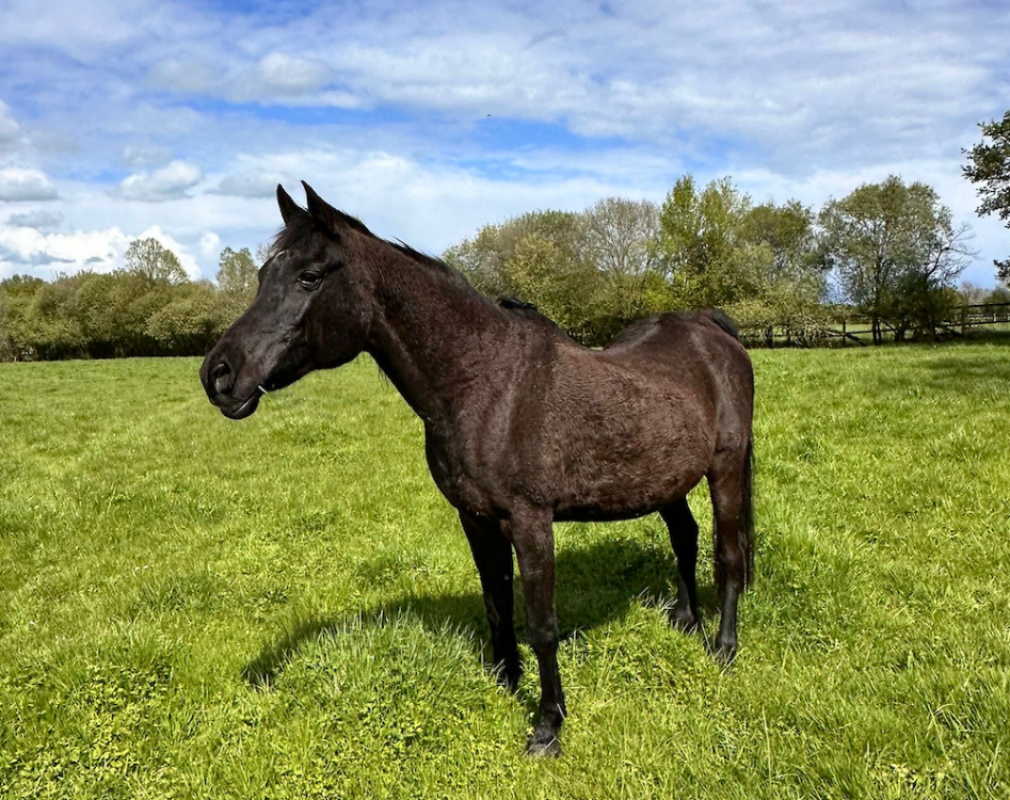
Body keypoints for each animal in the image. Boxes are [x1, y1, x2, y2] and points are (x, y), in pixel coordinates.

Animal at [200, 183, 755, 757]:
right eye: (263, 275)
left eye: (309, 276)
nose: (218, 375)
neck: (485, 383)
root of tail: (713, 332)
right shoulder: (477, 518)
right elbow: (496, 603)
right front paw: (504, 680)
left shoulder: (530, 521)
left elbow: (541, 623)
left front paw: (548, 726)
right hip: (667, 482)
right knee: (685, 537)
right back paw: (685, 622)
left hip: (725, 470)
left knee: (729, 556)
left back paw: (723, 648)